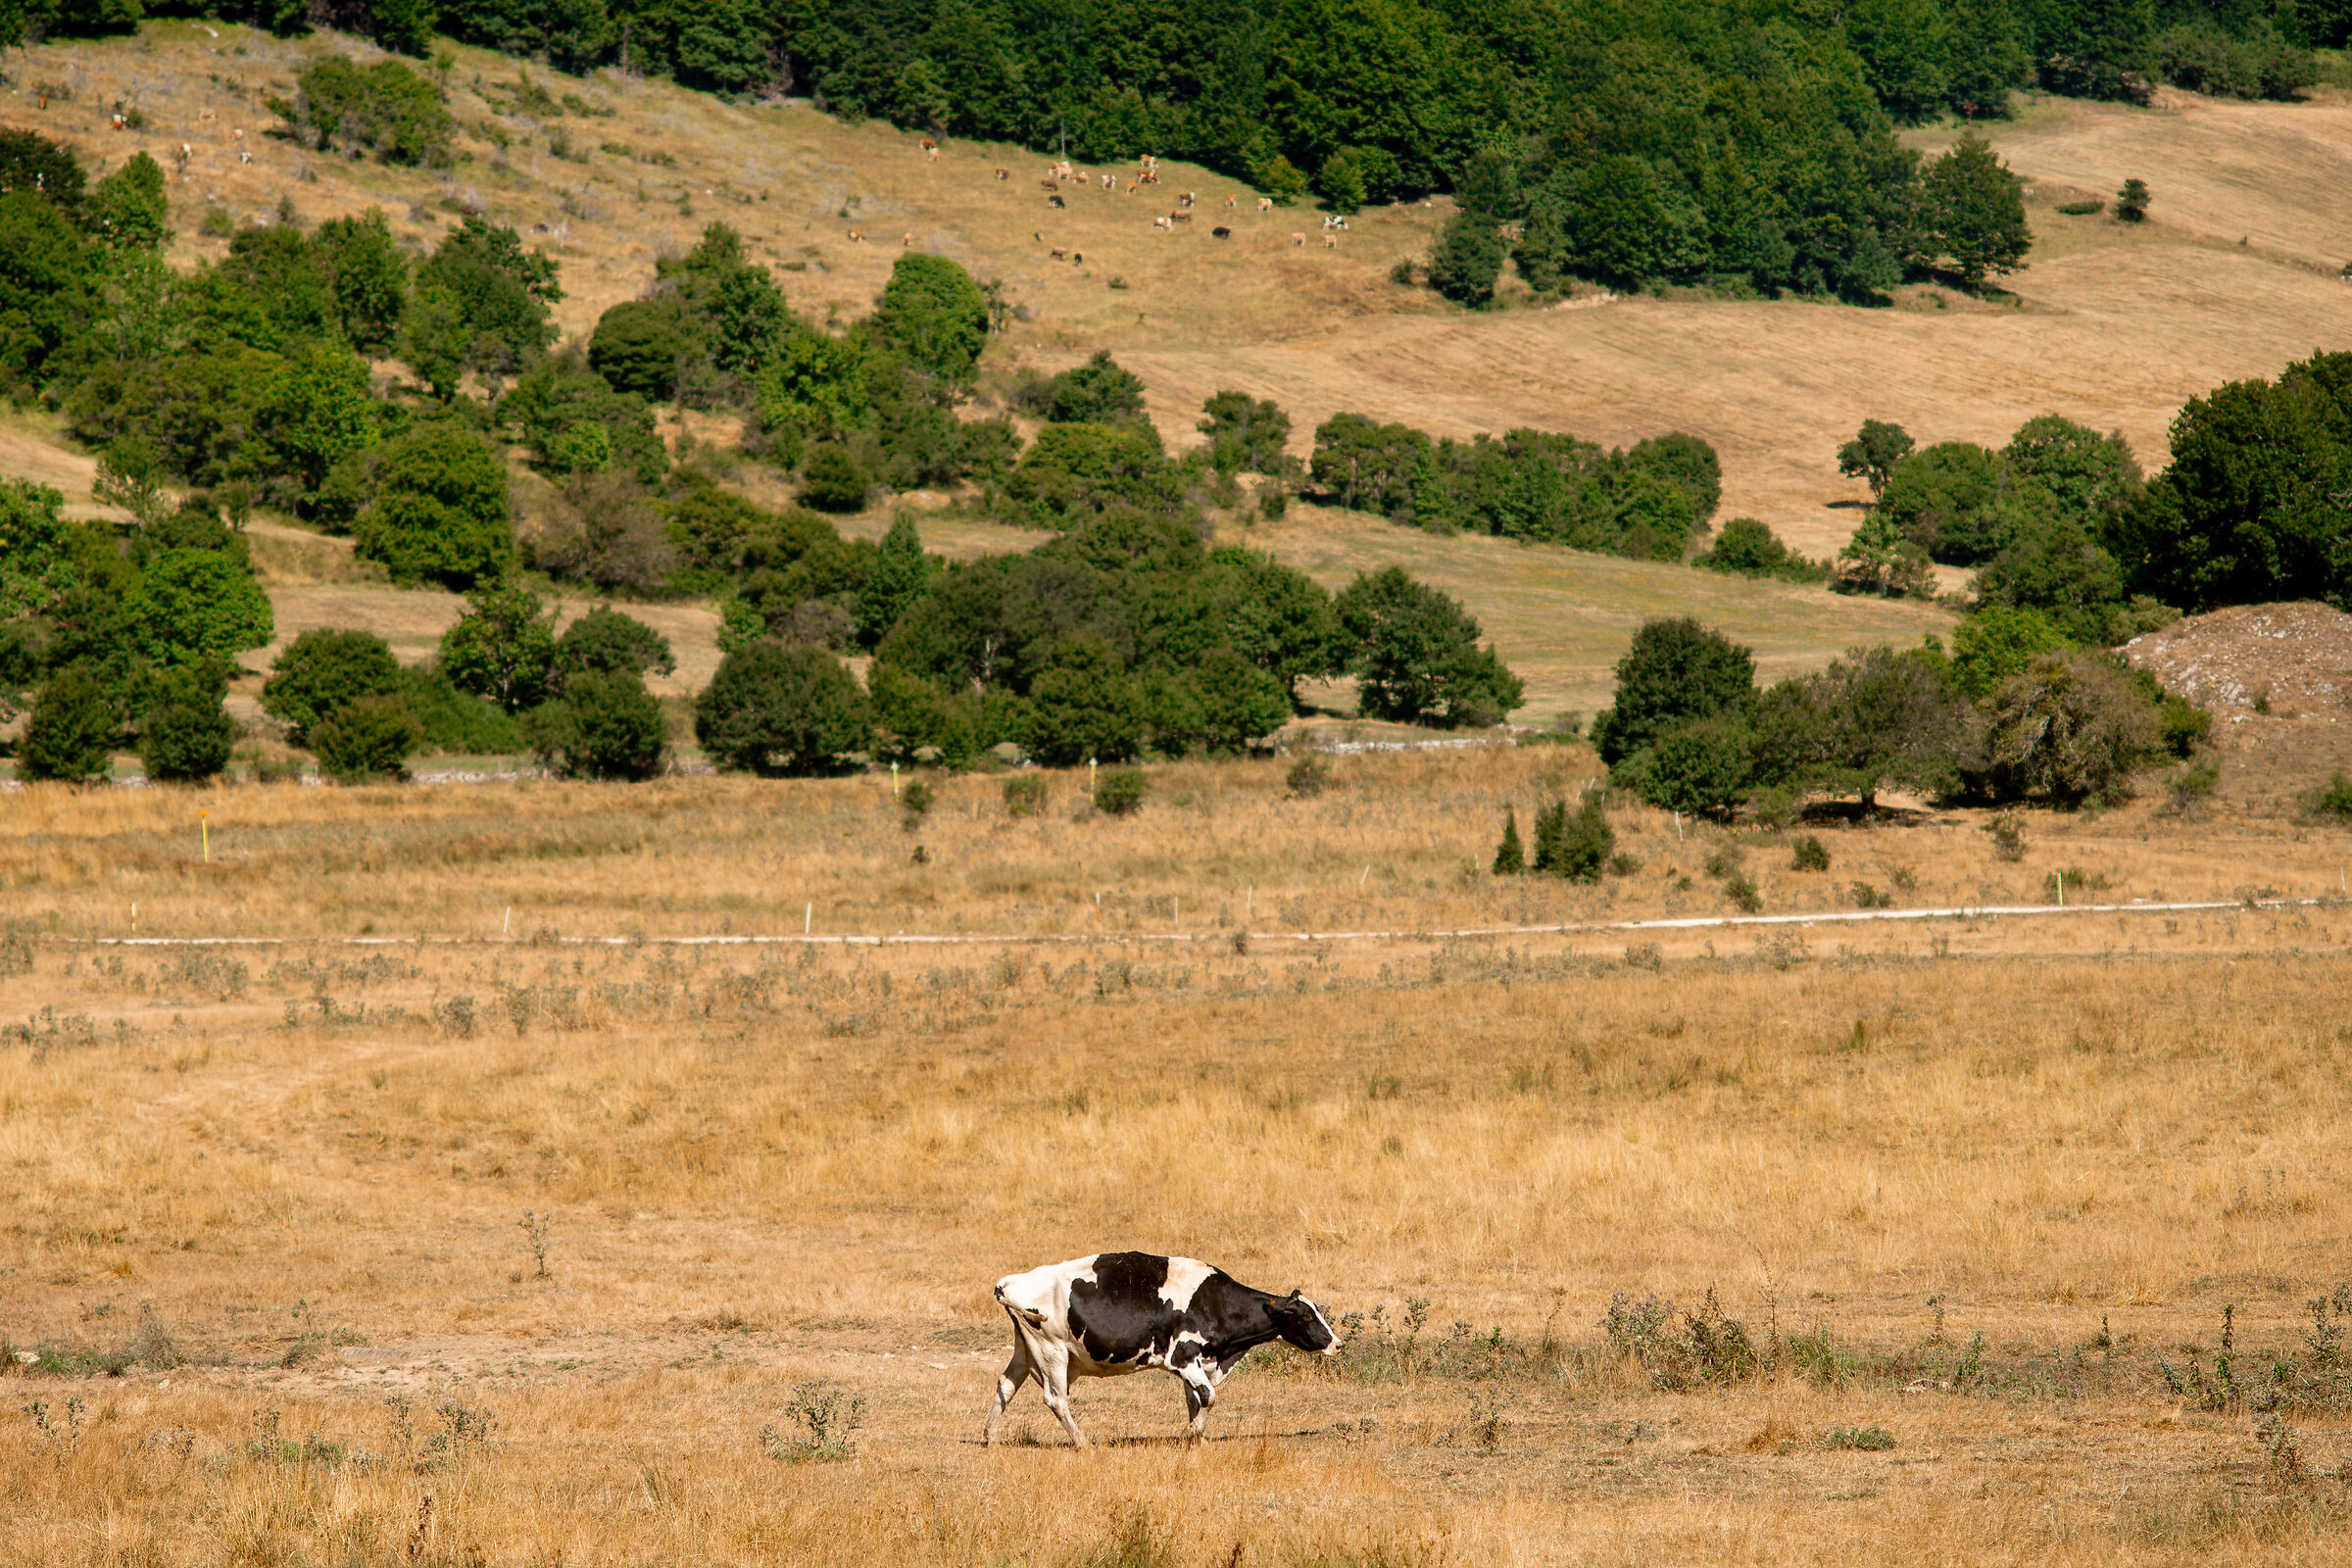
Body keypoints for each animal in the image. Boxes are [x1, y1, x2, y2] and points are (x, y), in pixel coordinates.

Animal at [986, 1252, 1338, 1448]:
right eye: (1307, 1316)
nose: (1337, 1343)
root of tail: (1010, 1282)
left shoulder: (1196, 1363)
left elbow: (1195, 1400)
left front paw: (1199, 1439)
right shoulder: (1183, 1356)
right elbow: (1208, 1396)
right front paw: (1190, 1434)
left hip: (1026, 1348)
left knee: (1005, 1385)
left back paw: (990, 1437)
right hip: (1052, 1351)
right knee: (1056, 1399)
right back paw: (1083, 1443)